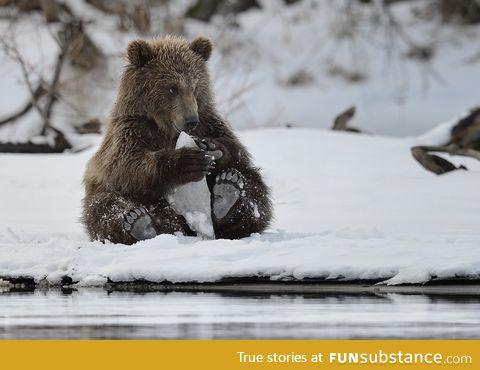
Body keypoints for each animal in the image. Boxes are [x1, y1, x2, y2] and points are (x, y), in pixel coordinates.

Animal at [80, 35, 272, 246]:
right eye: (172, 88)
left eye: (194, 86)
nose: (191, 121)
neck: (167, 127)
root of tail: (184, 225)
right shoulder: (131, 130)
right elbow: (127, 165)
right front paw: (187, 161)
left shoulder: (208, 121)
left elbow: (237, 149)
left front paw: (213, 148)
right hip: (133, 199)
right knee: (104, 206)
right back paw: (140, 223)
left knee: (253, 184)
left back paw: (228, 194)